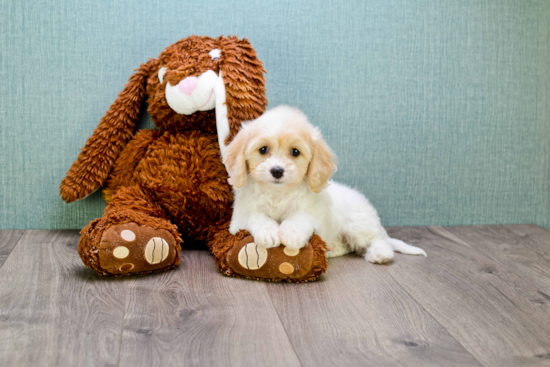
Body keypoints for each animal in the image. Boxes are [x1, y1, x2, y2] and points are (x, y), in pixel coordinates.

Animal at [220, 105, 426, 264]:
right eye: (263, 150)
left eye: (295, 152)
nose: (277, 171)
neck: (278, 193)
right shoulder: (238, 220)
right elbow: (256, 215)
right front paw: (268, 231)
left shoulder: (316, 214)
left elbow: (301, 216)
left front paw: (291, 233)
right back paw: (332, 248)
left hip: (358, 224)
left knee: (379, 239)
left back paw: (380, 254)